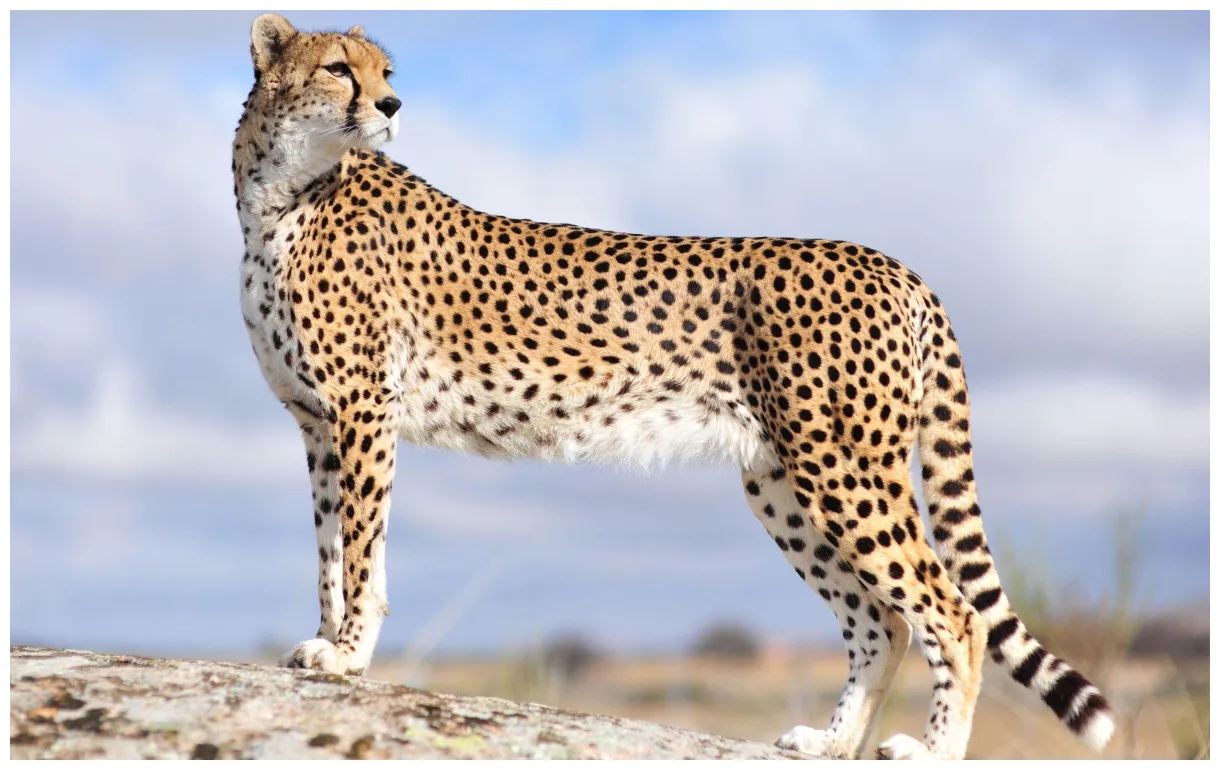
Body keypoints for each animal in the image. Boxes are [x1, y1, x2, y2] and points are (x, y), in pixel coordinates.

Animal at [232, 14, 1115, 760]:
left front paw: (349, 656)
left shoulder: (361, 413)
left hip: (842, 467)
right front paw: (327, 644)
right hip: (781, 481)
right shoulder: (319, 422)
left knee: (952, 612)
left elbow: (360, 546)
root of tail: (893, 264)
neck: (281, 193)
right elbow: (333, 549)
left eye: (386, 72)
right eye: (339, 67)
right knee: (880, 621)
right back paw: (831, 742)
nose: (391, 104)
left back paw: (932, 751)